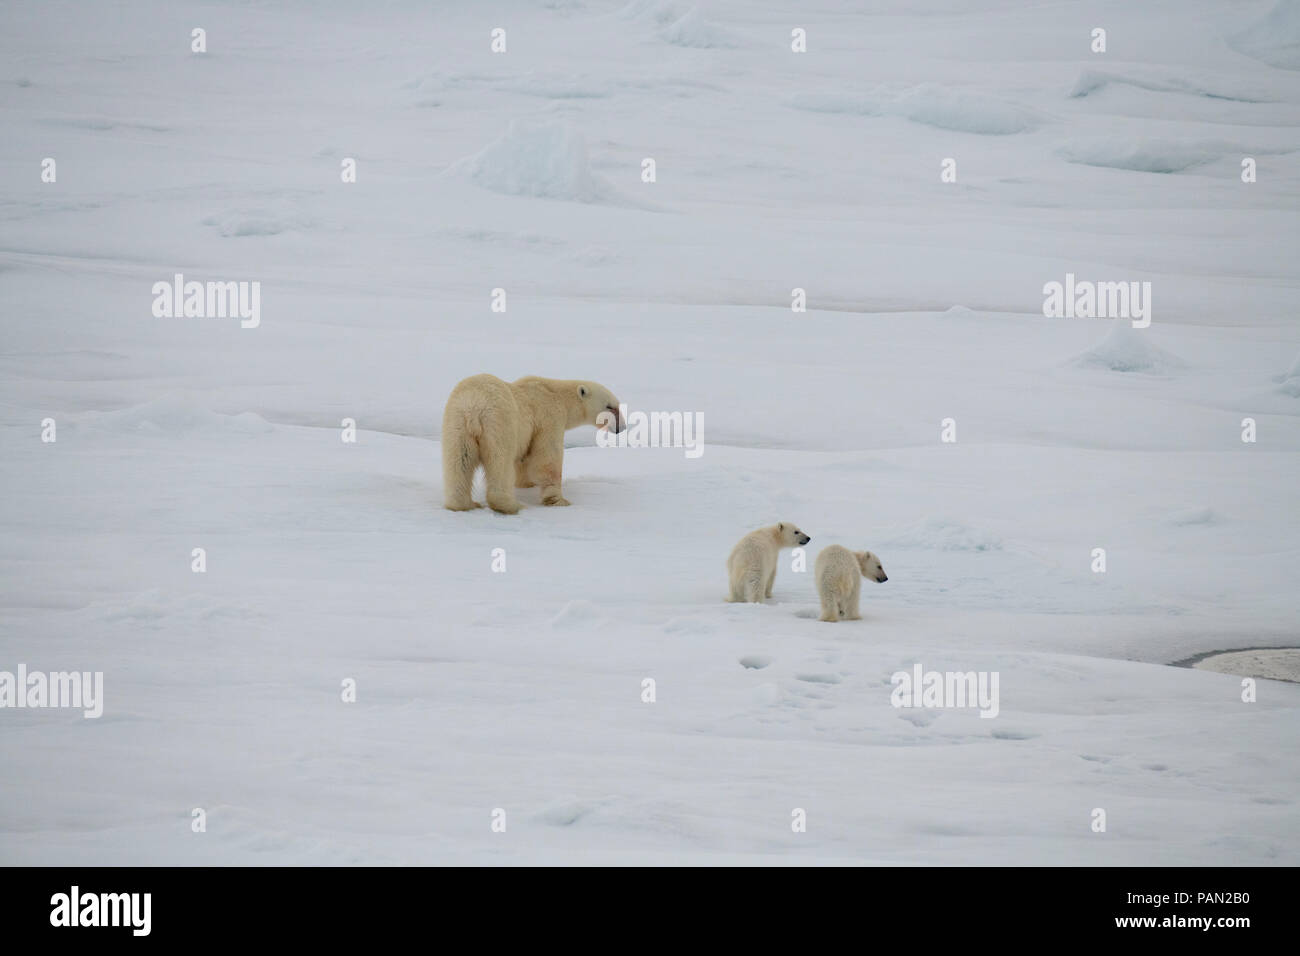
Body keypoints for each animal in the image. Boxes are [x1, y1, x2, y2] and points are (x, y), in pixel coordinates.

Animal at [441, 374, 624, 515]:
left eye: (617, 406)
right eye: (610, 406)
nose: (621, 428)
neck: (558, 395)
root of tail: (474, 406)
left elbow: (523, 460)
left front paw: (526, 484)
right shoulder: (549, 417)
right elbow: (547, 459)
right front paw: (558, 500)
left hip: (457, 424)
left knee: (459, 462)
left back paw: (464, 504)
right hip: (499, 422)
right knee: (500, 461)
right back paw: (512, 505)